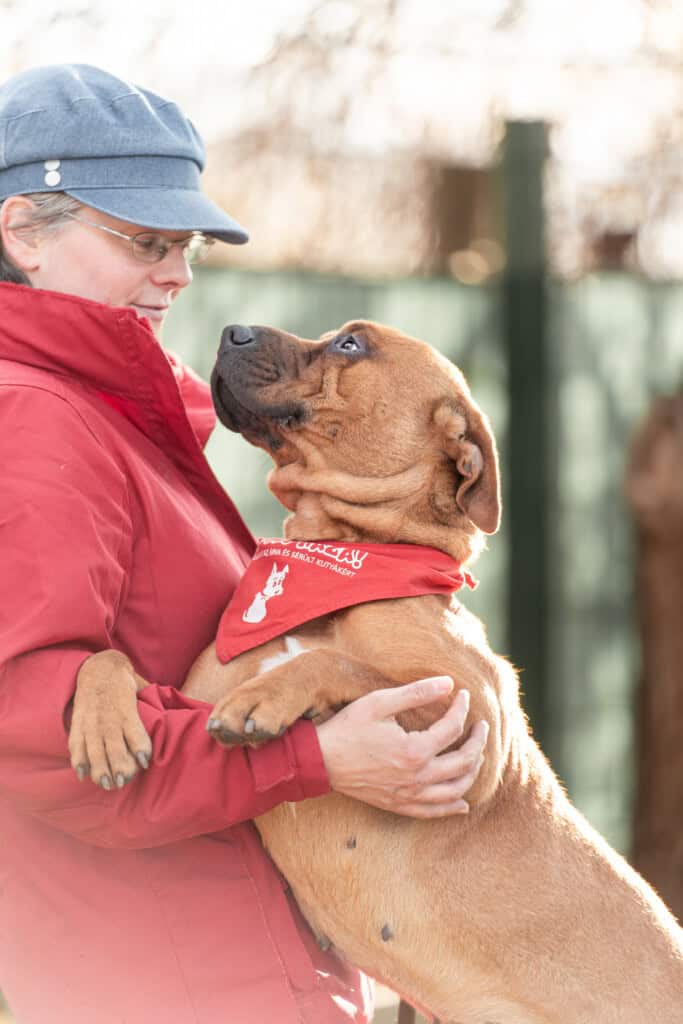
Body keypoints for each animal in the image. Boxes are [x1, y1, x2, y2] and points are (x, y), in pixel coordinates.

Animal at [69, 321, 683, 1023]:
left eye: (351, 346)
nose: (232, 331)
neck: (344, 556)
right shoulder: (189, 691)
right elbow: (104, 657)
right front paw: (103, 730)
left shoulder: (475, 718)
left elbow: (334, 661)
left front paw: (266, 698)